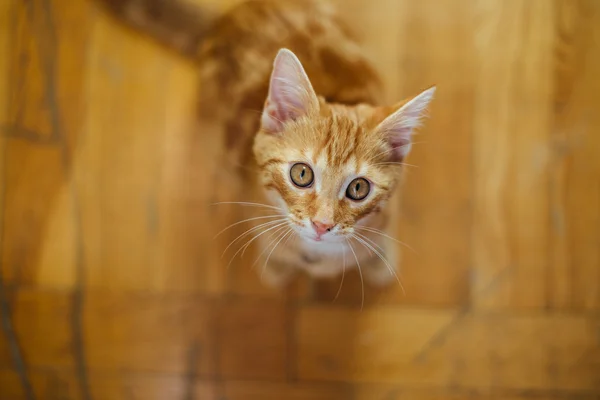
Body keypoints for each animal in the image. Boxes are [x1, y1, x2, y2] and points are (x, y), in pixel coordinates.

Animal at [97, 0, 436, 290]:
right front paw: (275, 267)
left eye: (358, 188)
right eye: (302, 174)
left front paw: (381, 263)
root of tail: (226, 21)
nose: (322, 225)